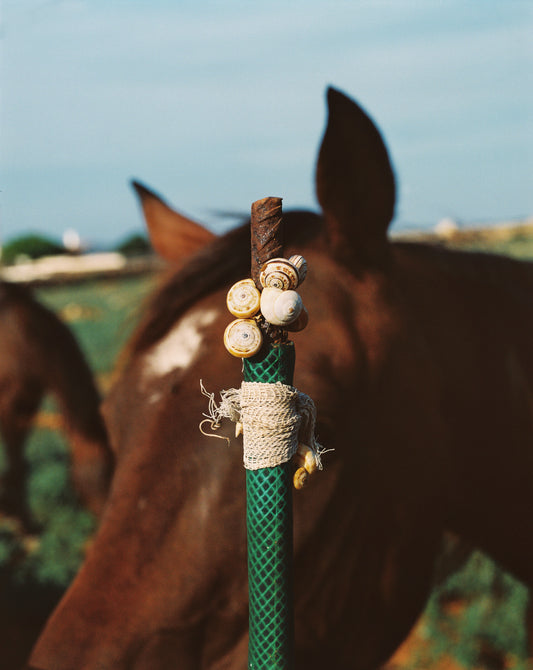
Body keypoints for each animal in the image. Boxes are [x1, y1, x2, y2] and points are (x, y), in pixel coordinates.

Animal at [0, 280, 112, 524]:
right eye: (105, 476)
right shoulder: (8, 403)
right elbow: (18, 465)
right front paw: (23, 523)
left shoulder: (28, 400)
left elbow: (20, 463)